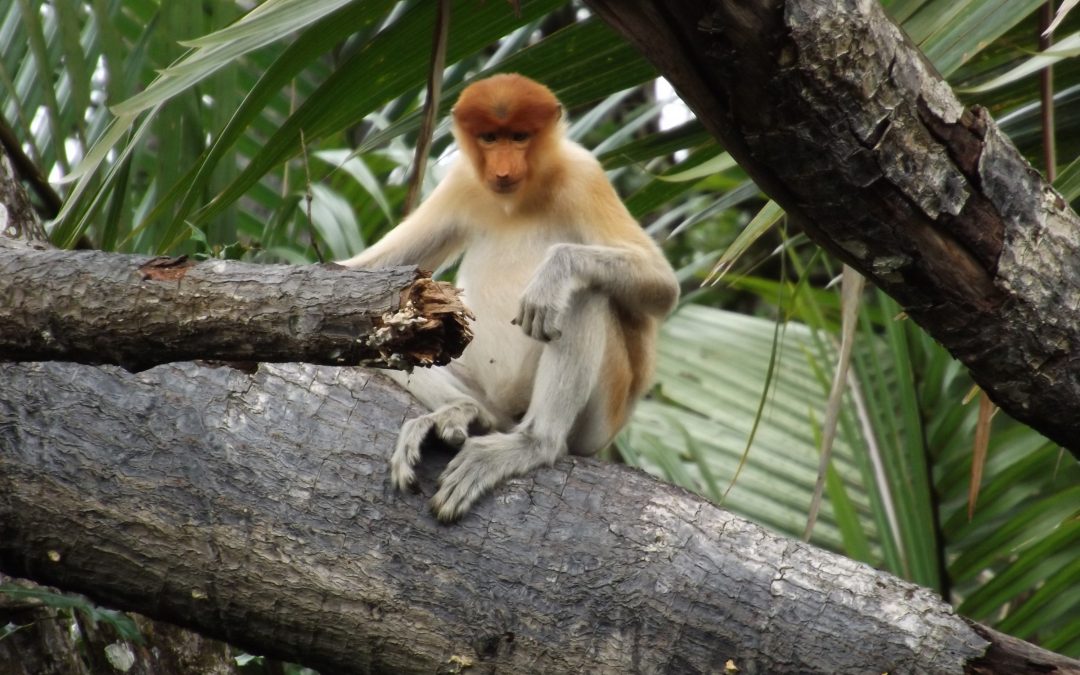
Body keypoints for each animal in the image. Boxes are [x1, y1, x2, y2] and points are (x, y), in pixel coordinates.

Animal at [339, 72, 673, 520]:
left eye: (519, 137)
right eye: (489, 138)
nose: (501, 170)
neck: (519, 199)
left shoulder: (584, 175)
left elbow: (663, 287)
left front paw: (555, 272)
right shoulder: (461, 182)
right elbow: (371, 270)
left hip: (599, 421)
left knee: (585, 296)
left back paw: (533, 442)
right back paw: (466, 414)